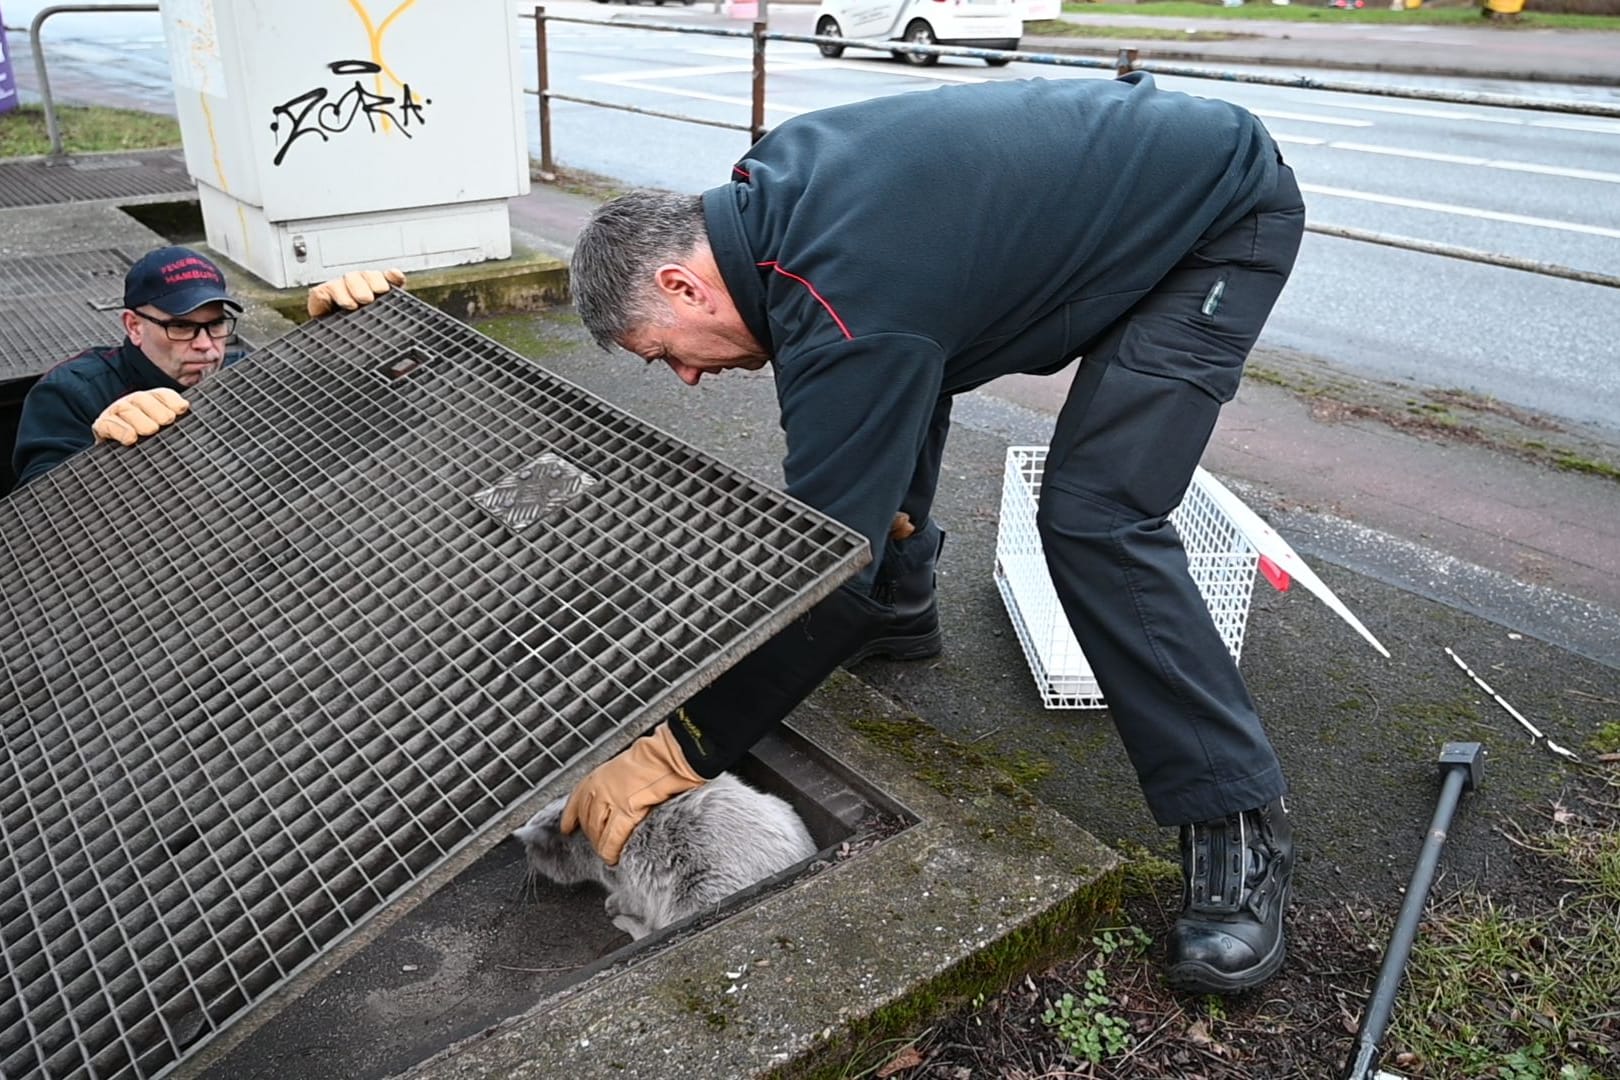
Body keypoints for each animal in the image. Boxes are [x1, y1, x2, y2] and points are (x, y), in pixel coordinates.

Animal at [518, 773, 816, 939]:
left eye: (532, 852)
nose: (526, 857)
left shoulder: (631, 882)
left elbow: (629, 900)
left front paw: (614, 906)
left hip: (696, 895)